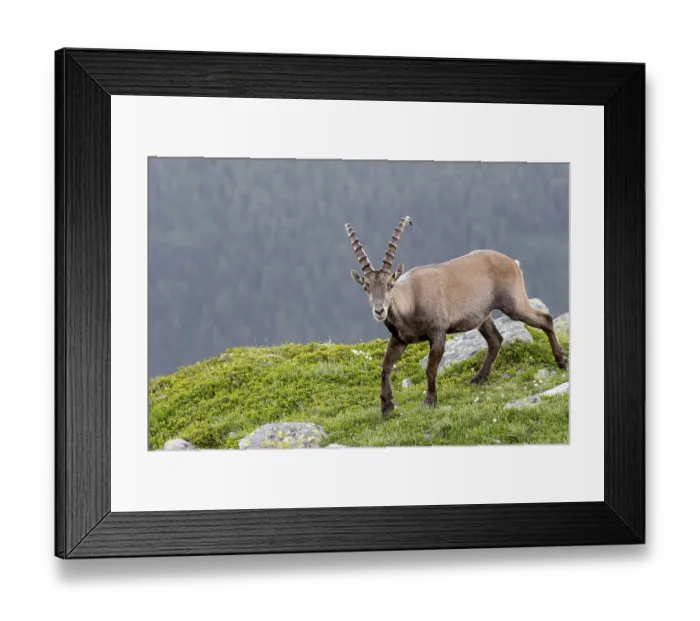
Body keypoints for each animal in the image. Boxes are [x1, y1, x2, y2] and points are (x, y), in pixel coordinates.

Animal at [345, 216, 568, 416]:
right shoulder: (400, 338)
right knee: (496, 339)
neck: (411, 301)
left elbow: (430, 369)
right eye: (366, 287)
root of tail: (512, 262)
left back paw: (561, 361)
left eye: (390, 285)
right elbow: (385, 366)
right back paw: (479, 378)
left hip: (514, 304)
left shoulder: (438, 332)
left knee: (545, 319)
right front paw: (386, 407)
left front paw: (430, 401)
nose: (379, 311)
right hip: (482, 316)